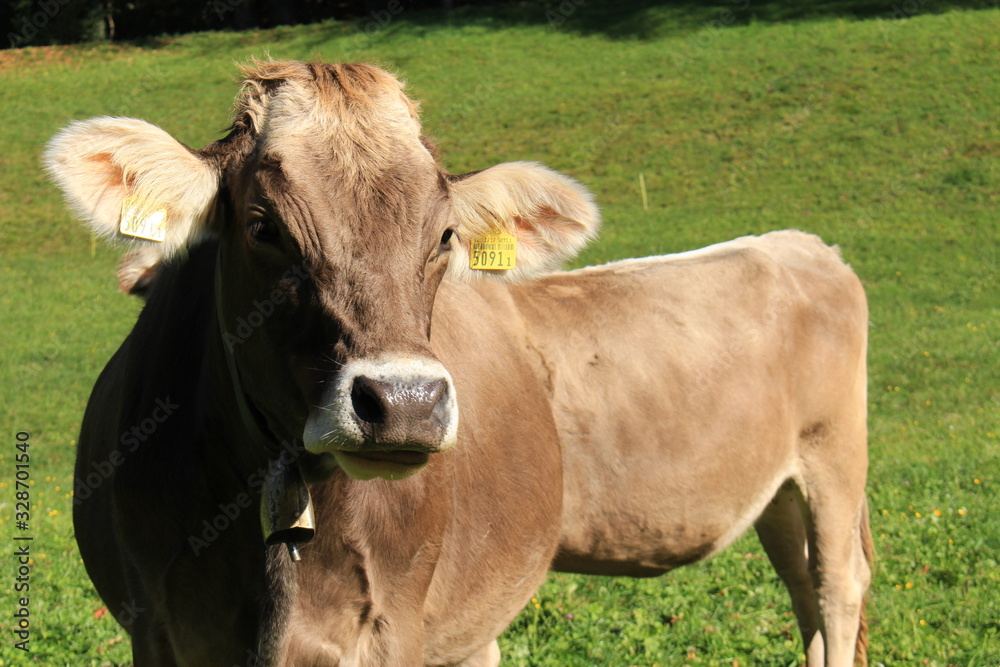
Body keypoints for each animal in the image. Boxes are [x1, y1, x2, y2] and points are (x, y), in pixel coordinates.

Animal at [47, 60, 868, 664]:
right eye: (262, 225)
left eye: (444, 234)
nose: (404, 403)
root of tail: (799, 243)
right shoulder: (156, 627)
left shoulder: (393, 624)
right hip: (779, 495)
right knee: (806, 594)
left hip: (833, 463)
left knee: (836, 590)